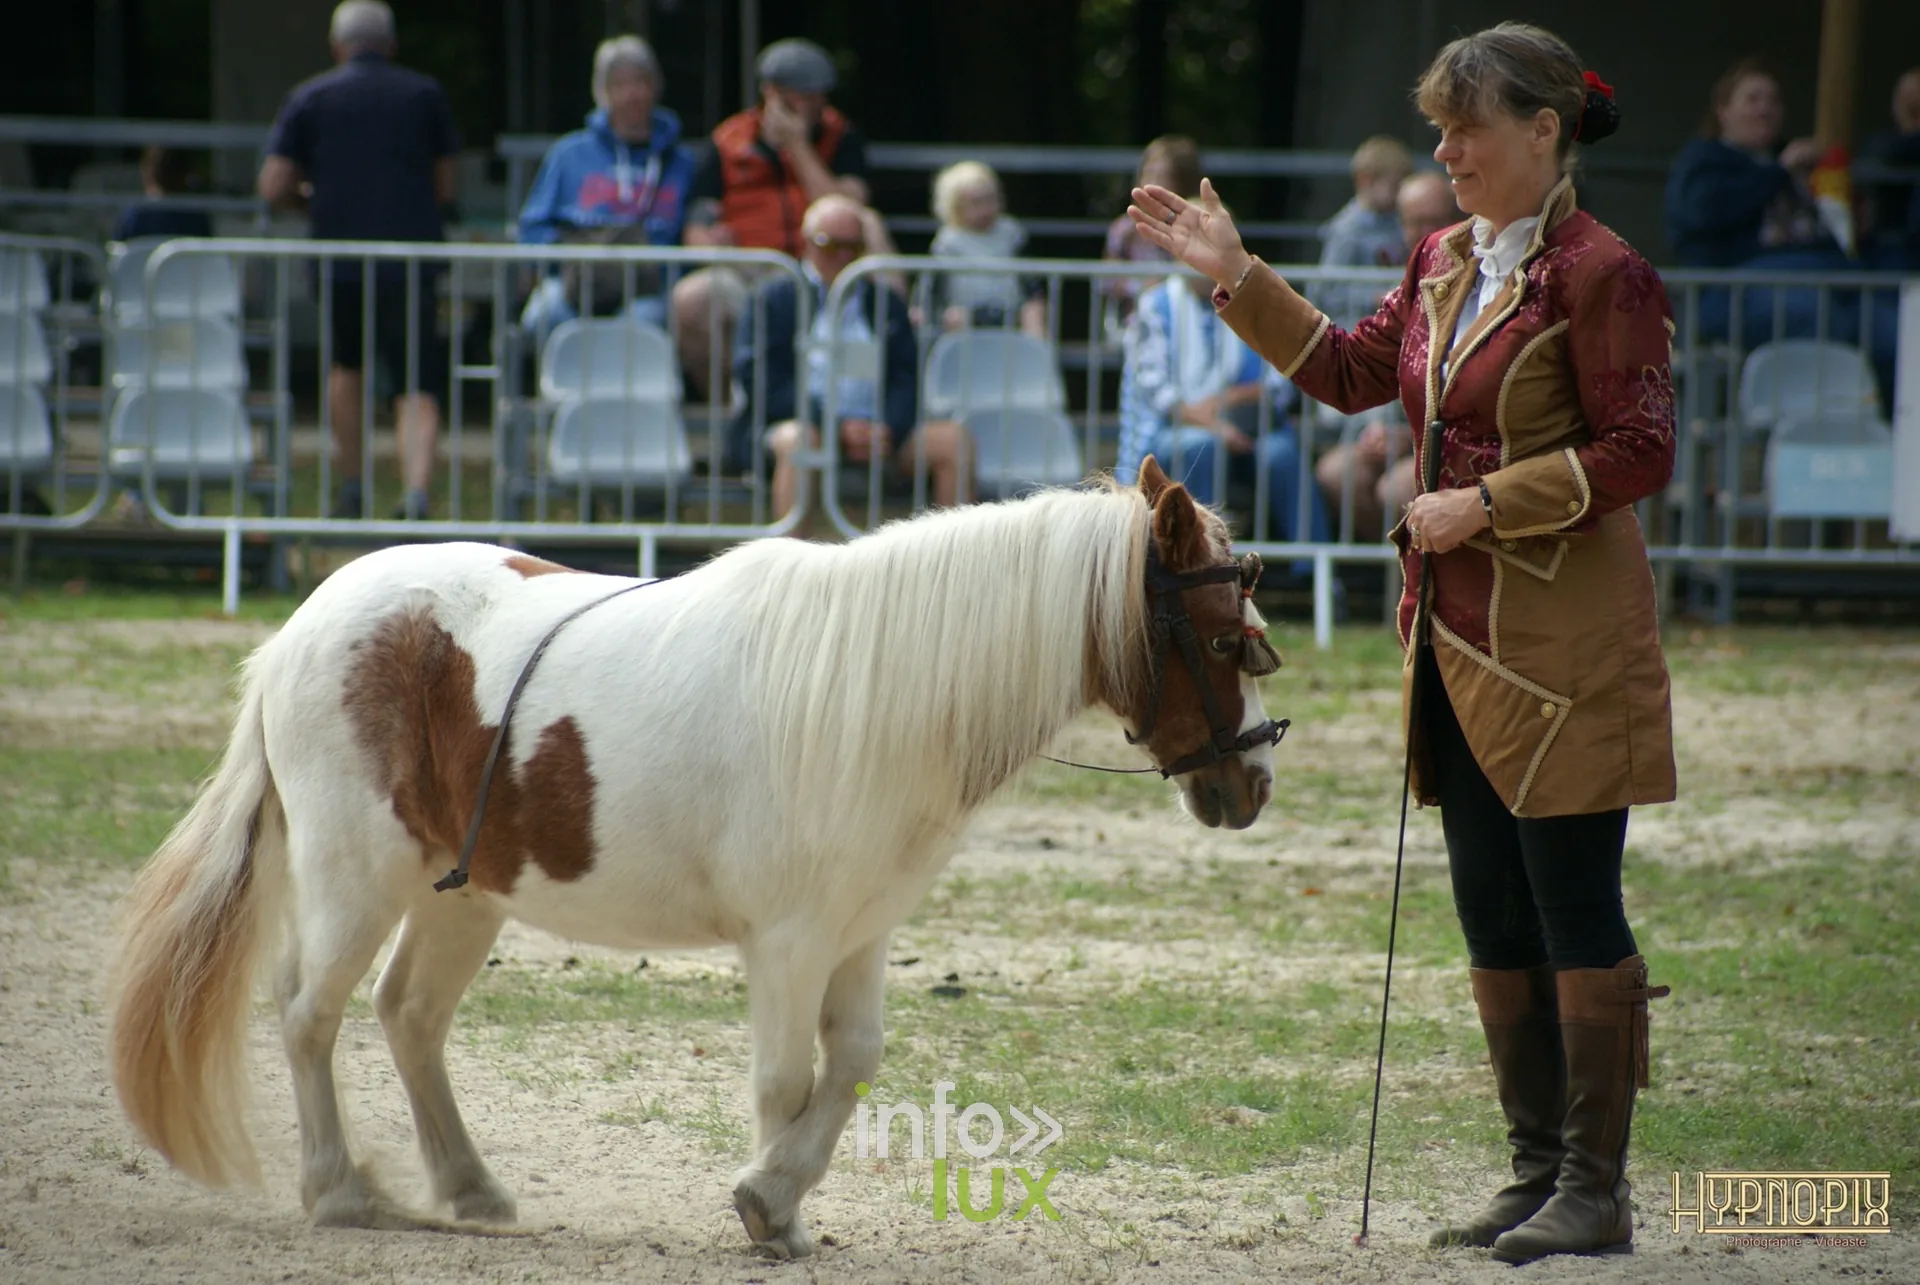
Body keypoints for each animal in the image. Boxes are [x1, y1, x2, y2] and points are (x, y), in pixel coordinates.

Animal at [108, 458, 1281, 1258]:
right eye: (1228, 638)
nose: (1253, 784)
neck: (876, 691)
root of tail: (300, 632)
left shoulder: (861, 933)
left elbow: (853, 1063)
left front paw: (782, 1197)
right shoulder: (790, 941)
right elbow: (786, 1077)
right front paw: (770, 1208)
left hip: (465, 888)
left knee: (409, 1016)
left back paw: (470, 1187)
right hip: (359, 877)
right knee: (311, 1011)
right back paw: (340, 1190)